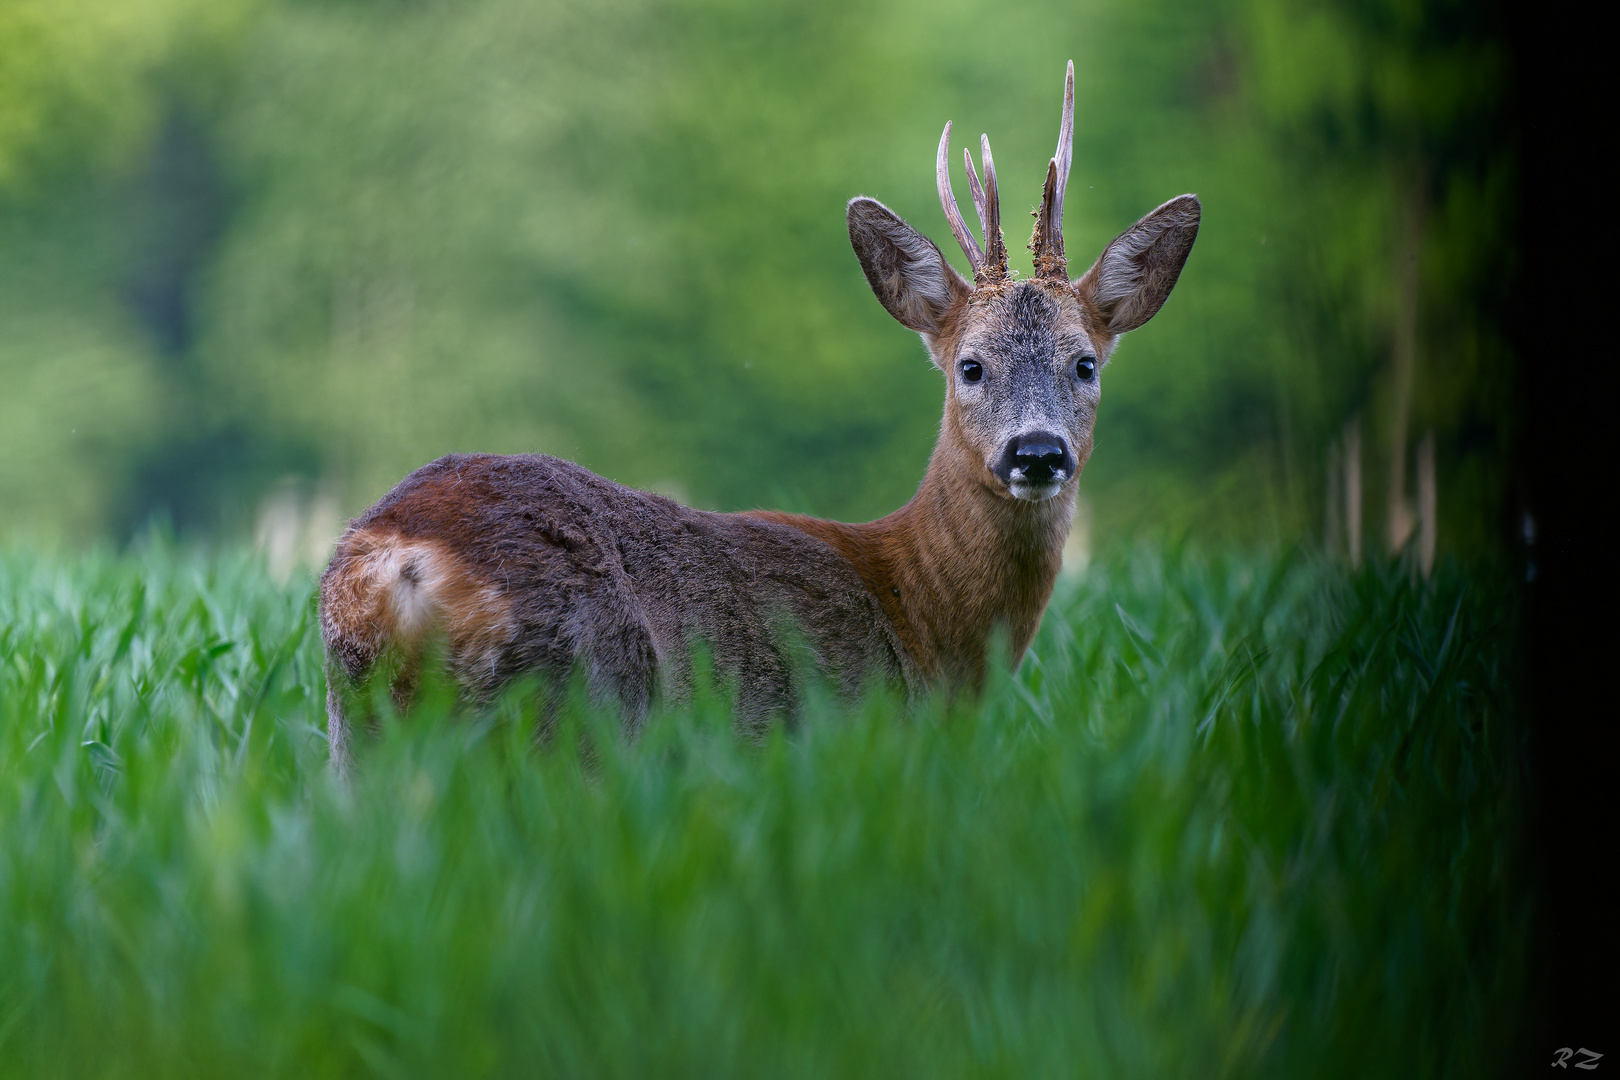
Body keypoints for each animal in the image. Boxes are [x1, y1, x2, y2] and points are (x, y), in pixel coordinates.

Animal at [319, 63, 1205, 773]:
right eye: (970, 366)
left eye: (1084, 363)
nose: (1037, 453)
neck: (919, 611)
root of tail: (395, 563)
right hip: (582, 699)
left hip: (356, 739)